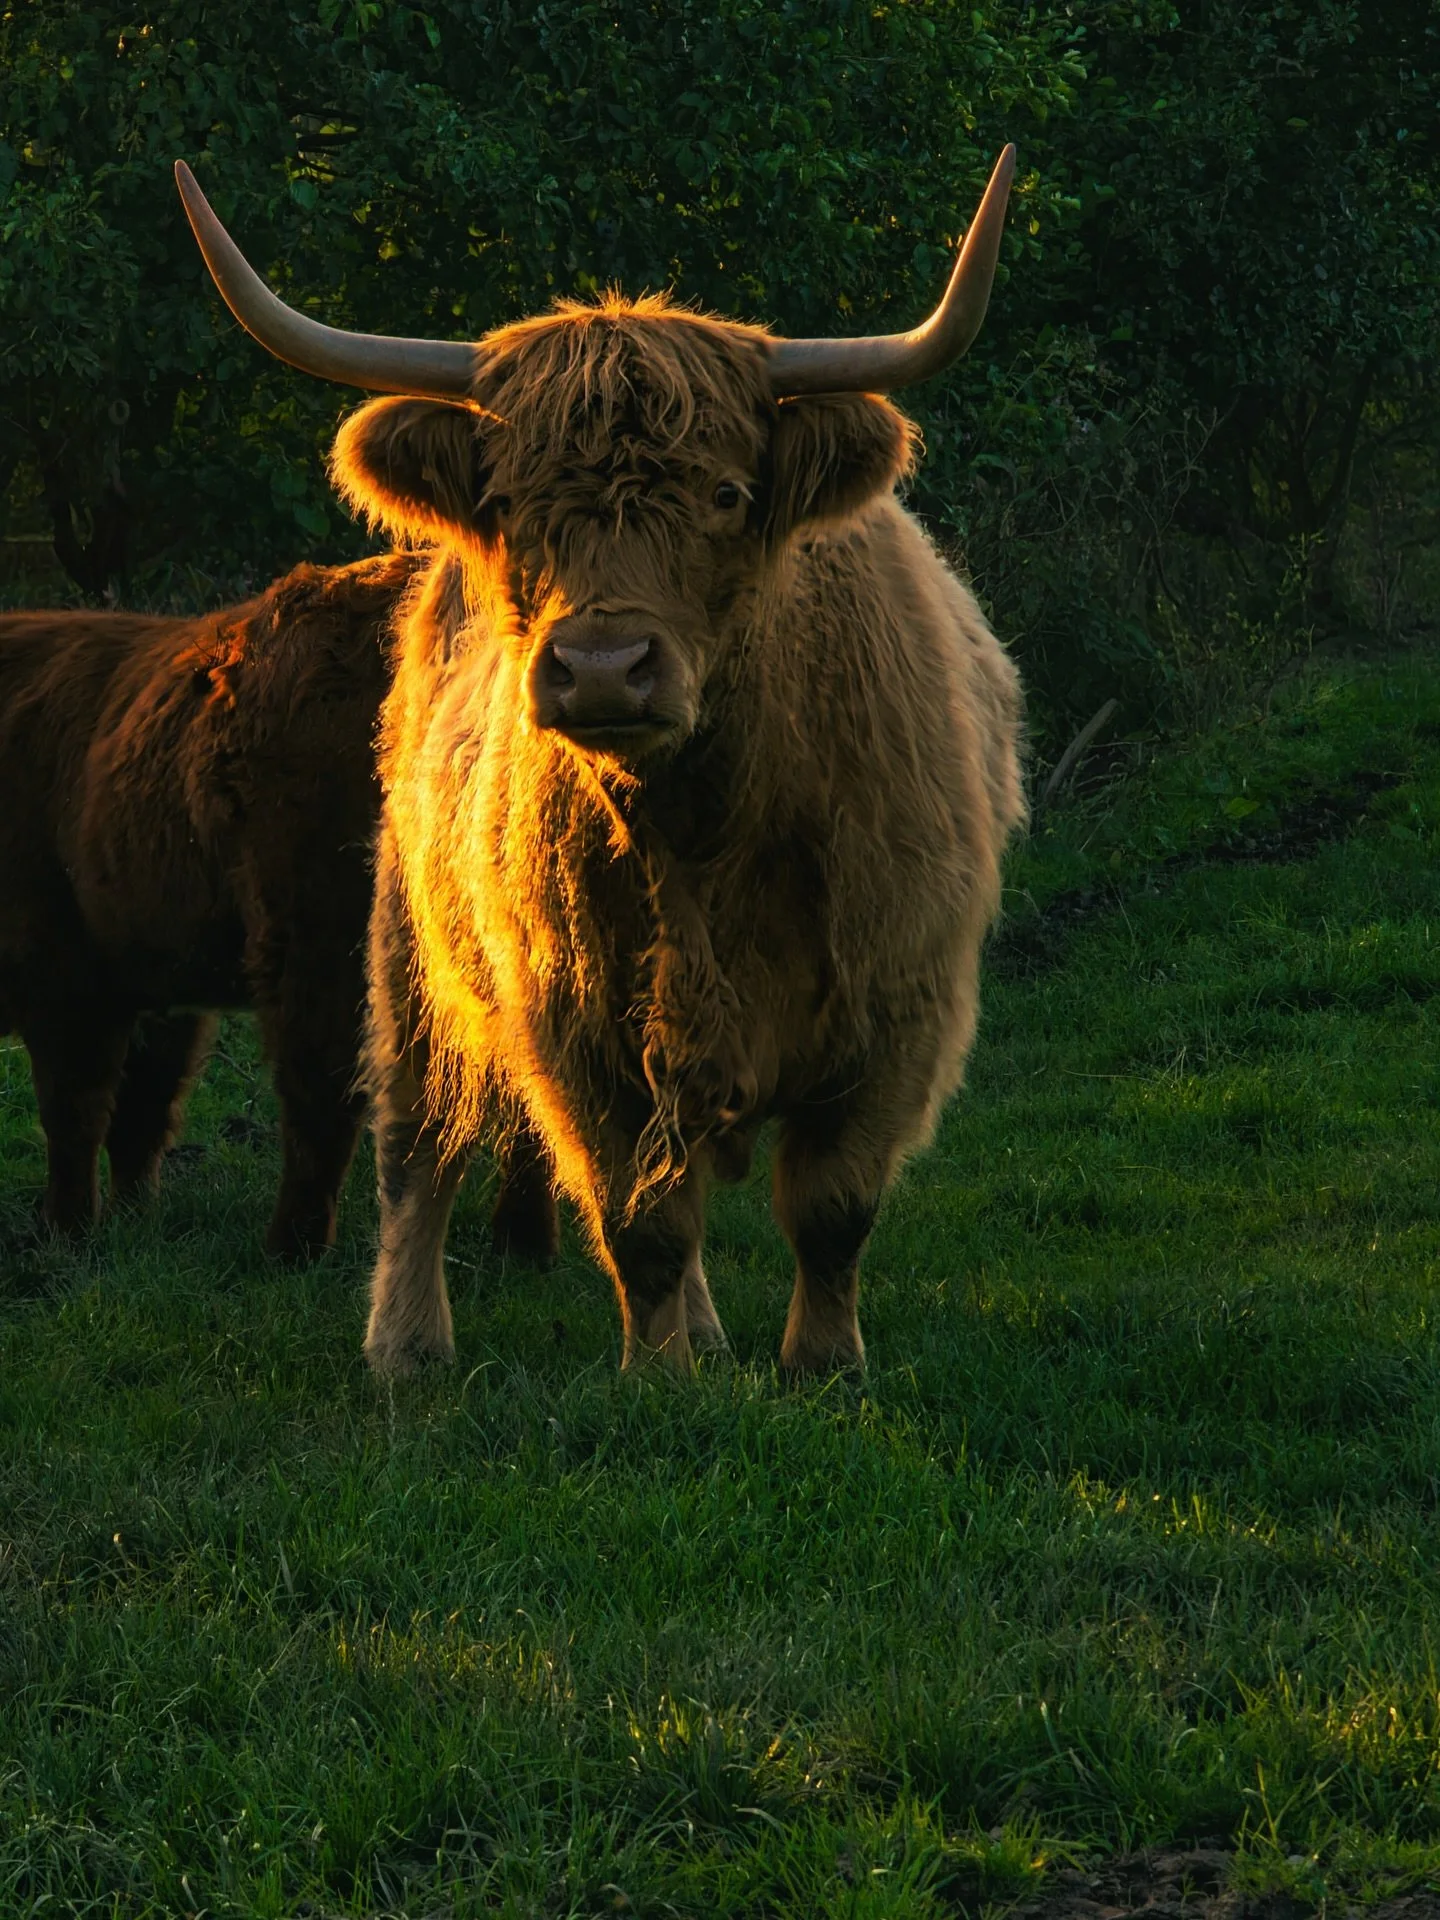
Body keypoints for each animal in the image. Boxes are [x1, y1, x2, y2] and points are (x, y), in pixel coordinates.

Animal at [0, 555, 416, 1256]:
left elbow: (75, 1107)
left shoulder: (62, 964)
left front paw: (66, 1229)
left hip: (318, 936)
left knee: (320, 1090)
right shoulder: (151, 977)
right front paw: (133, 1218)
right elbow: (141, 1108)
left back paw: (291, 1249)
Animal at [175, 147, 1027, 1370]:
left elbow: (830, 1208)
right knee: (415, 1142)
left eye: (726, 493)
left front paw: (820, 1366)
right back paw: (408, 1343)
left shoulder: (898, 1005)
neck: (706, 826)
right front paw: (659, 1376)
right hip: (408, 941)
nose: (603, 670)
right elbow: (641, 1221)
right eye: (511, 503)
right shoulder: (573, 1021)